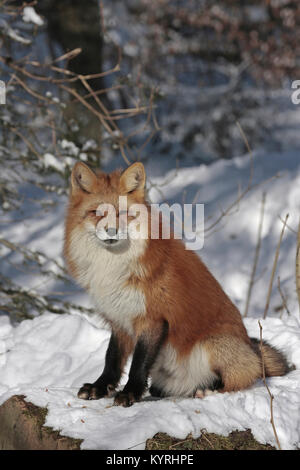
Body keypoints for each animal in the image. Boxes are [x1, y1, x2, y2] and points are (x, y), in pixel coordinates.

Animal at [63, 160, 290, 406]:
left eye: (123, 213)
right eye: (97, 213)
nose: (111, 231)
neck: (112, 267)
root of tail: (251, 347)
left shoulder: (153, 318)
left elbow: (138, 363)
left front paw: (130, 392)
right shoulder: (119, 318)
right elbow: (112, 358)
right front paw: (100, 387)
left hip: (212, 345)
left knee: (240, 379)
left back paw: (207, 391)